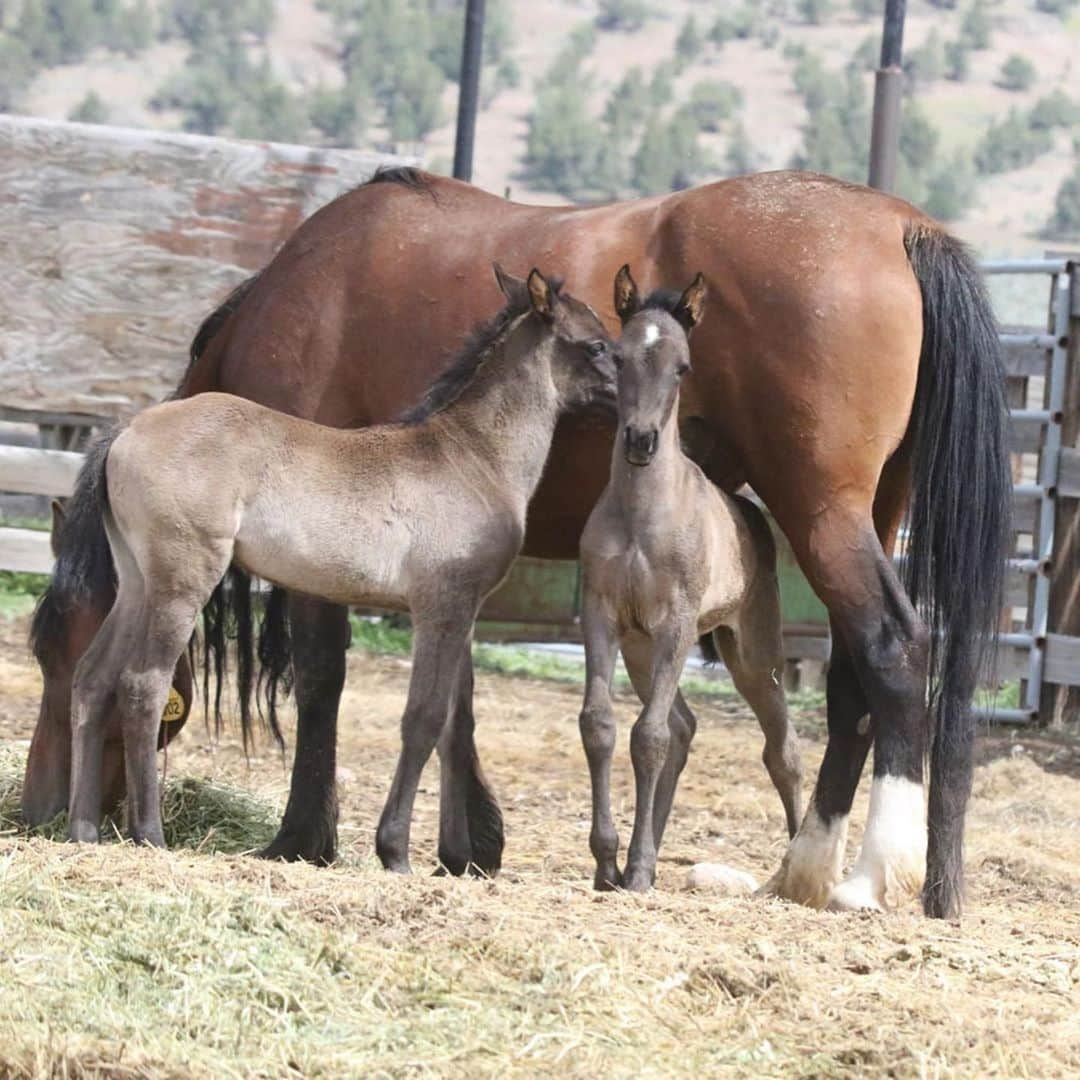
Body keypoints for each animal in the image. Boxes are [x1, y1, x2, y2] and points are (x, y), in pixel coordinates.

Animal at [69, 265, 617, 855]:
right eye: (597, 344)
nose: (632, 403)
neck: (471, 457)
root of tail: (125, 431)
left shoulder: (464, 613)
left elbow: (453, 719)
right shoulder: (440, 606)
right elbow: (423, 717)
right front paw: (394, 850)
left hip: (136, 582)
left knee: (92, 678)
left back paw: (82, 828)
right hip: (182, 580)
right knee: (143, 683)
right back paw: (149, 833)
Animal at [583, 265, 803, 889]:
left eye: (682, 366)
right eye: (618, 357)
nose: (640, 441)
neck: (640, 516)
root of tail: (749, 510)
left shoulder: (677, 624)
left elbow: (649, 736)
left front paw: (632, 868)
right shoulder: (601, 615)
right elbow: (602, 725)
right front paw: (609, 862)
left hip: (751, 653)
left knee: (782, 747)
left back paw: (795, 862)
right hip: (641, 648)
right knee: (683, 727)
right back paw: (652, 855)